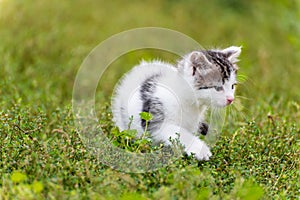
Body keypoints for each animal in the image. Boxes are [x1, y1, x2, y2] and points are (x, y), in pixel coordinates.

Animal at [112, 46, 241, 160]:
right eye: (218, 88)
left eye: (232, 86)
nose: (231, 99)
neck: (190, 103)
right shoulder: (155, 119)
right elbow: (177, 132)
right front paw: (200, 150)